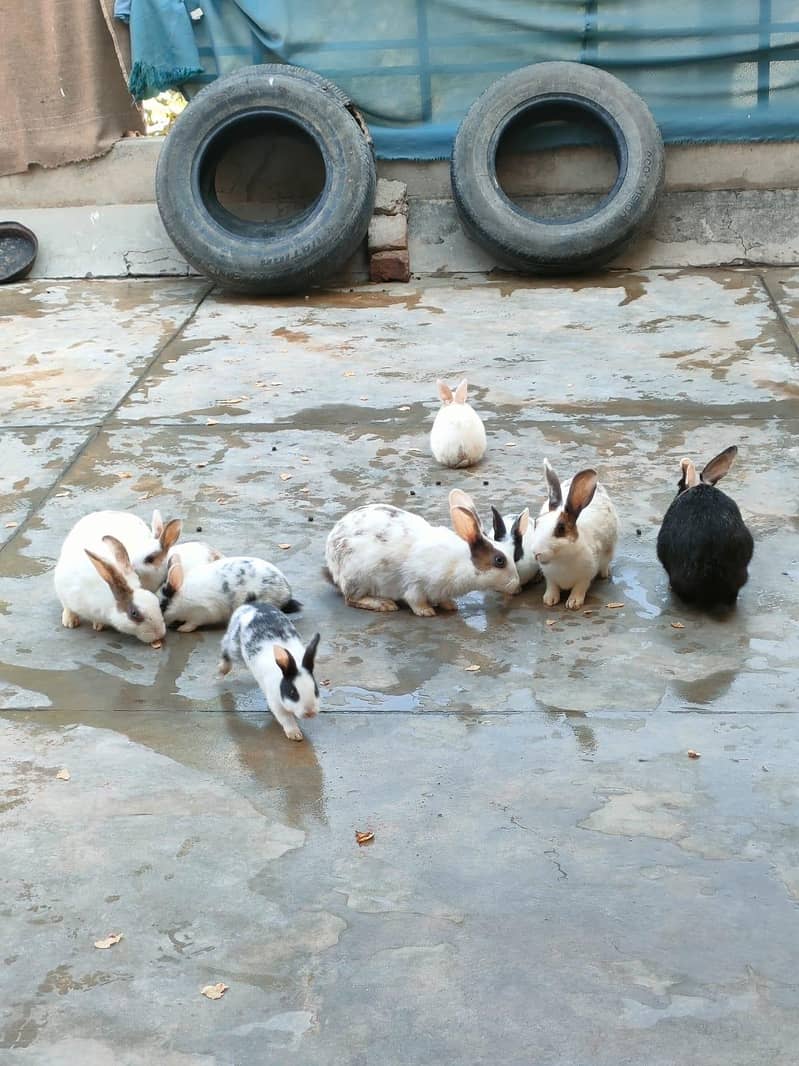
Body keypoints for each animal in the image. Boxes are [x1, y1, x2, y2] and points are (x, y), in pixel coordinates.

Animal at [159, 555, 300, 632]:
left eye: (162, 606)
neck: (181, 599)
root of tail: (287, 594)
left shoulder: (201, 613)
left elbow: (192, 623)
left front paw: (183, 629)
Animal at [219, 603, 321, 741]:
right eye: (293, 692)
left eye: (315, 690)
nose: (310, 712)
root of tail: (250, 605)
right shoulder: (276, 703)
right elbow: (286, 718)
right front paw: (295, 734)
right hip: (234, 646)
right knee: (225, 644)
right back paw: (222, 670)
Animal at [325, 488, 520, 616]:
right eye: (499, 560)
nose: (516, 585)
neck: (461, 563)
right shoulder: (416, 584)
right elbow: (415, 600)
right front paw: (426, 611)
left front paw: (451, 605)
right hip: (358, 577)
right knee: (351, 599)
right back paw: (384, 604)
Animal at [530, 460, 619, 610]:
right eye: (536, 522)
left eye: (561, 529)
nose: (536, 553)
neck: (561, 560)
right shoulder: (550, 577)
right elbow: (552, 586)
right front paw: (549, 599)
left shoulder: (586, 576)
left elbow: (579, 588)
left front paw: (573, 603)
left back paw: (604, 573)